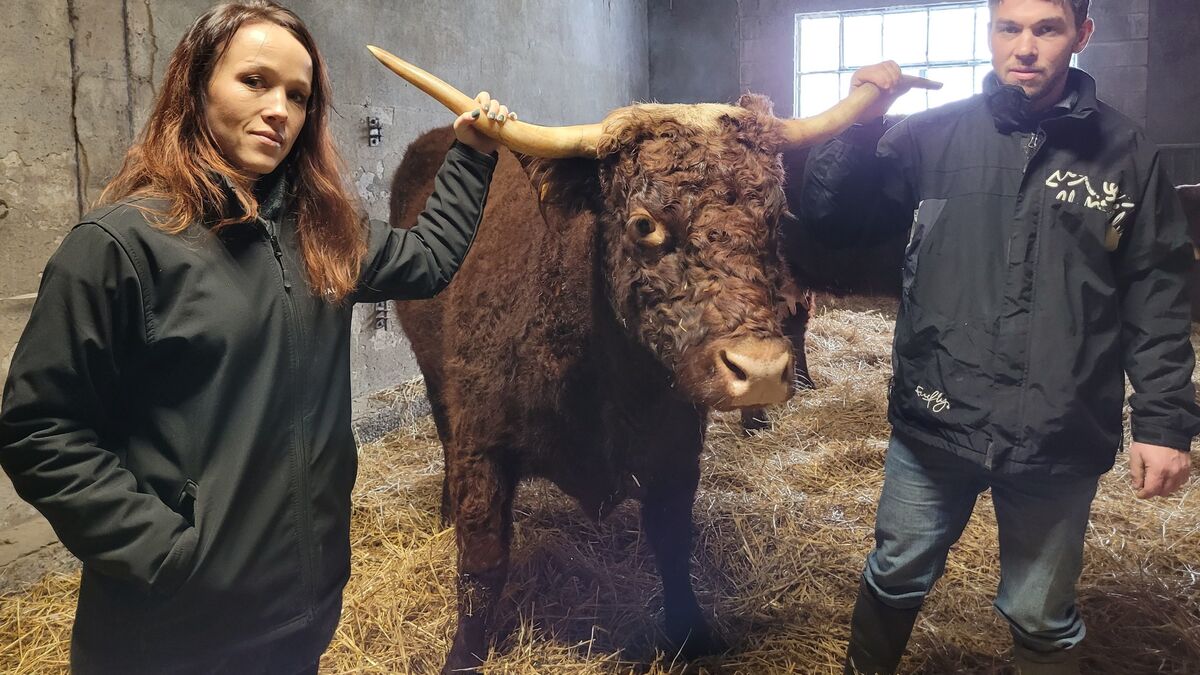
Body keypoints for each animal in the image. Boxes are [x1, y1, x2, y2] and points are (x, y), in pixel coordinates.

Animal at [374, 48, 926, 672]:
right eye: (644, 223)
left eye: (774, 216)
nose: (759, 371)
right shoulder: (481, 446)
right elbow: (482, 565)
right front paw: (463, 655)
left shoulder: (675, 447)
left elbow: (672, 546)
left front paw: (692, 636)